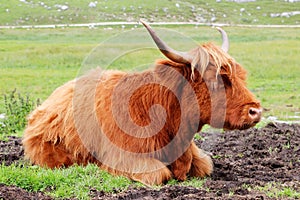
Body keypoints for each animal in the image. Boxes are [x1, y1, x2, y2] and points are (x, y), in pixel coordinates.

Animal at [22, 19, 262, 184]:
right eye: (215, 80)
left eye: (240, 76)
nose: (255, 111)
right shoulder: (126, 158)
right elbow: (159, 174)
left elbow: (204, 165)